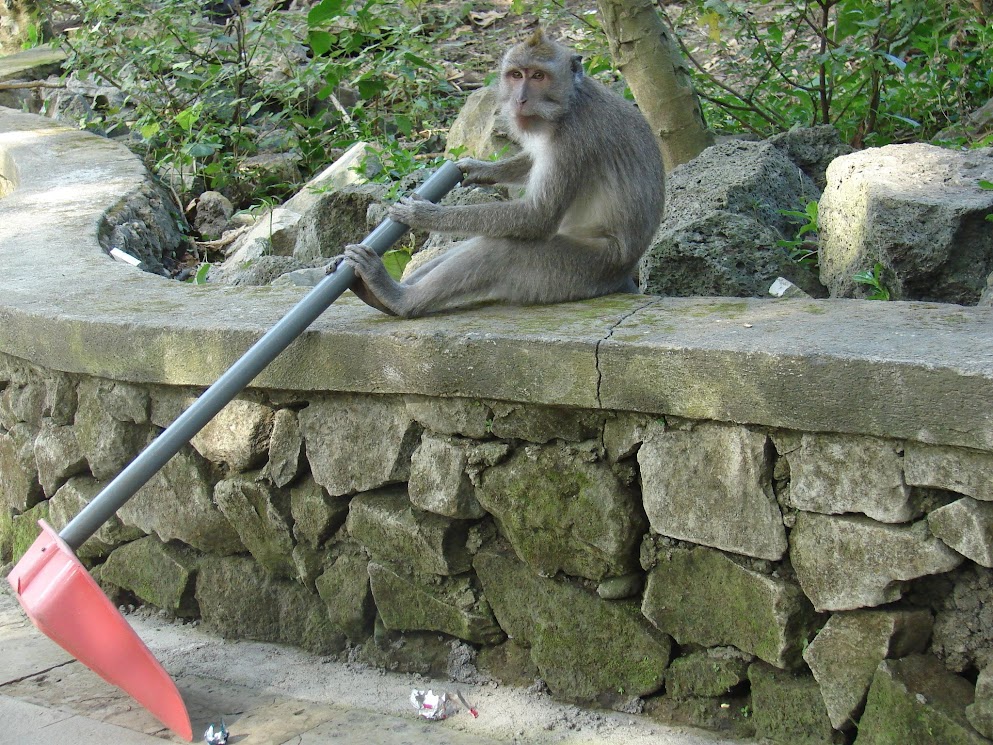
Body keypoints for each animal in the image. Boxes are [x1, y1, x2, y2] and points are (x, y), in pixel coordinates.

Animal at [336, 28, 668, 316]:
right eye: (516, 75)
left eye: (538, 76)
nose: (520, 99)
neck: (568, 105)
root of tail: (623, 272)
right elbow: (531, 161)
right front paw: (476, 169)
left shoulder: (574, 140)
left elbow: (538, 216)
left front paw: (426, 215)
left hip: (582, 270)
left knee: (505, 249)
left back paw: (399, 298)